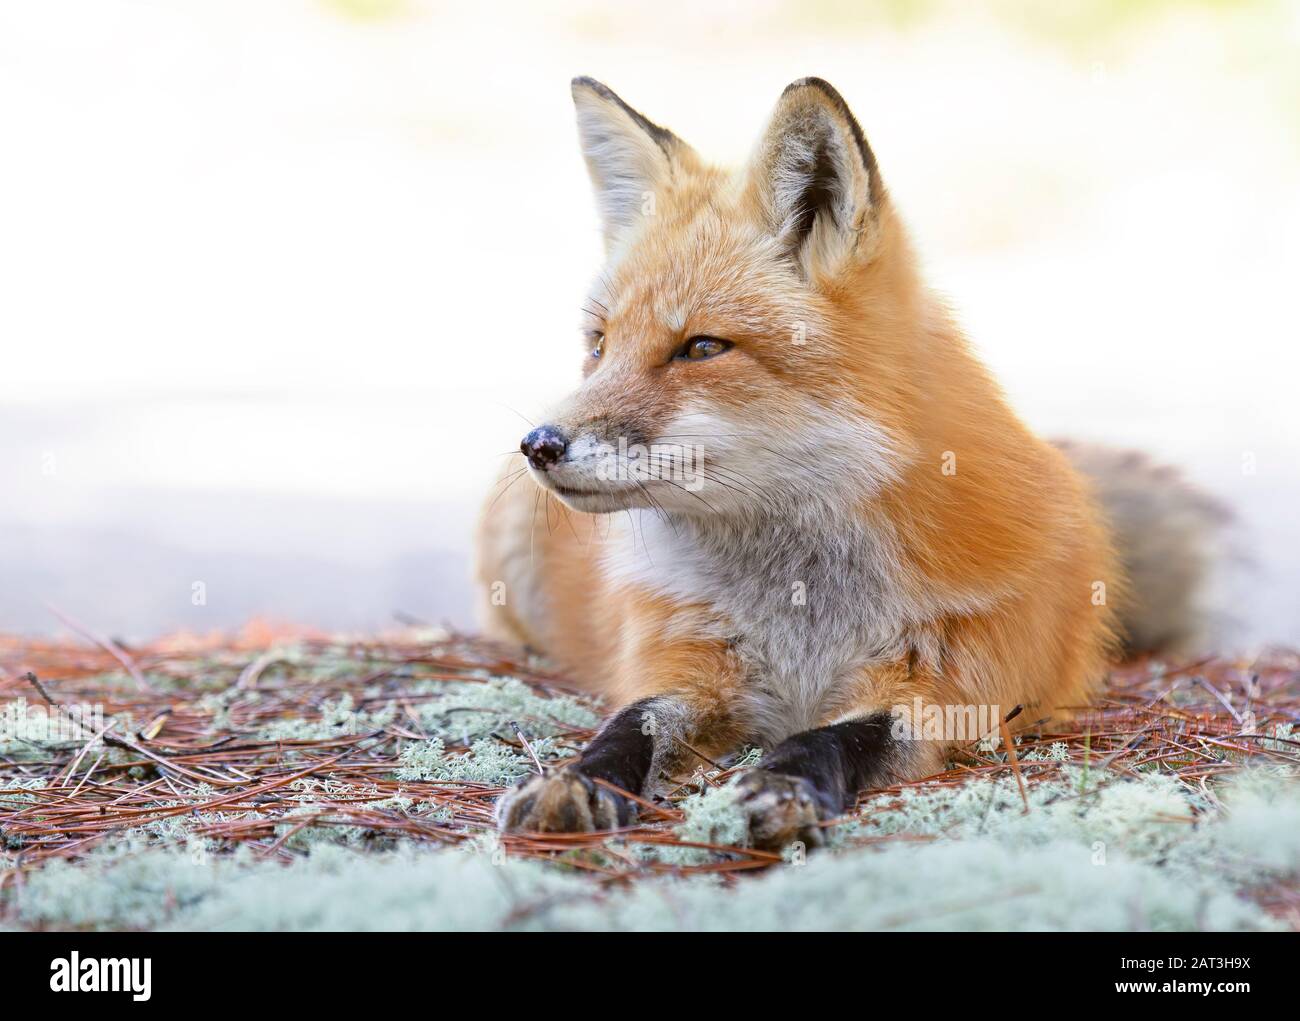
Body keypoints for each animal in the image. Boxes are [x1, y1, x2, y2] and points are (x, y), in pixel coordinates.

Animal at [476, 77, 1227, 850]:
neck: (802, 609)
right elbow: (629, 726)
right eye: (599, 344)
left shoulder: (954, 690)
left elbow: (832, 737)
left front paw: (780, 783)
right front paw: (576, 780)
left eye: (702, 348)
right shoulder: (682, 664)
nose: (539, 445)